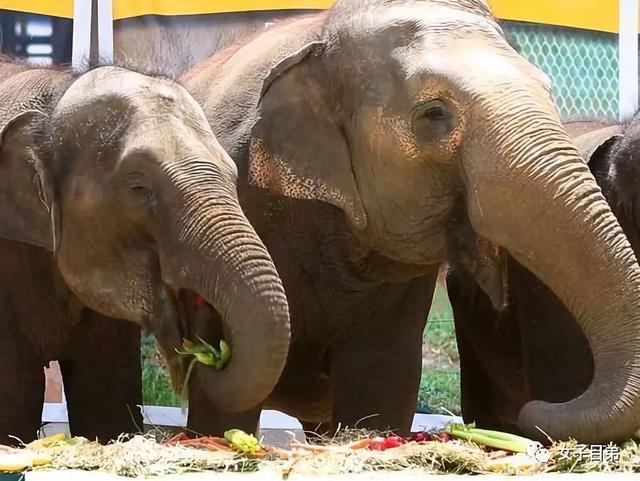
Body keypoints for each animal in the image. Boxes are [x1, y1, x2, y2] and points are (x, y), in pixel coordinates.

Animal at [0, 59, 290, 442]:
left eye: (232, 175)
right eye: (138, 188)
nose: (209, 350)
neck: (53, 101)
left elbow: (105, 404)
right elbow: (13, 404)